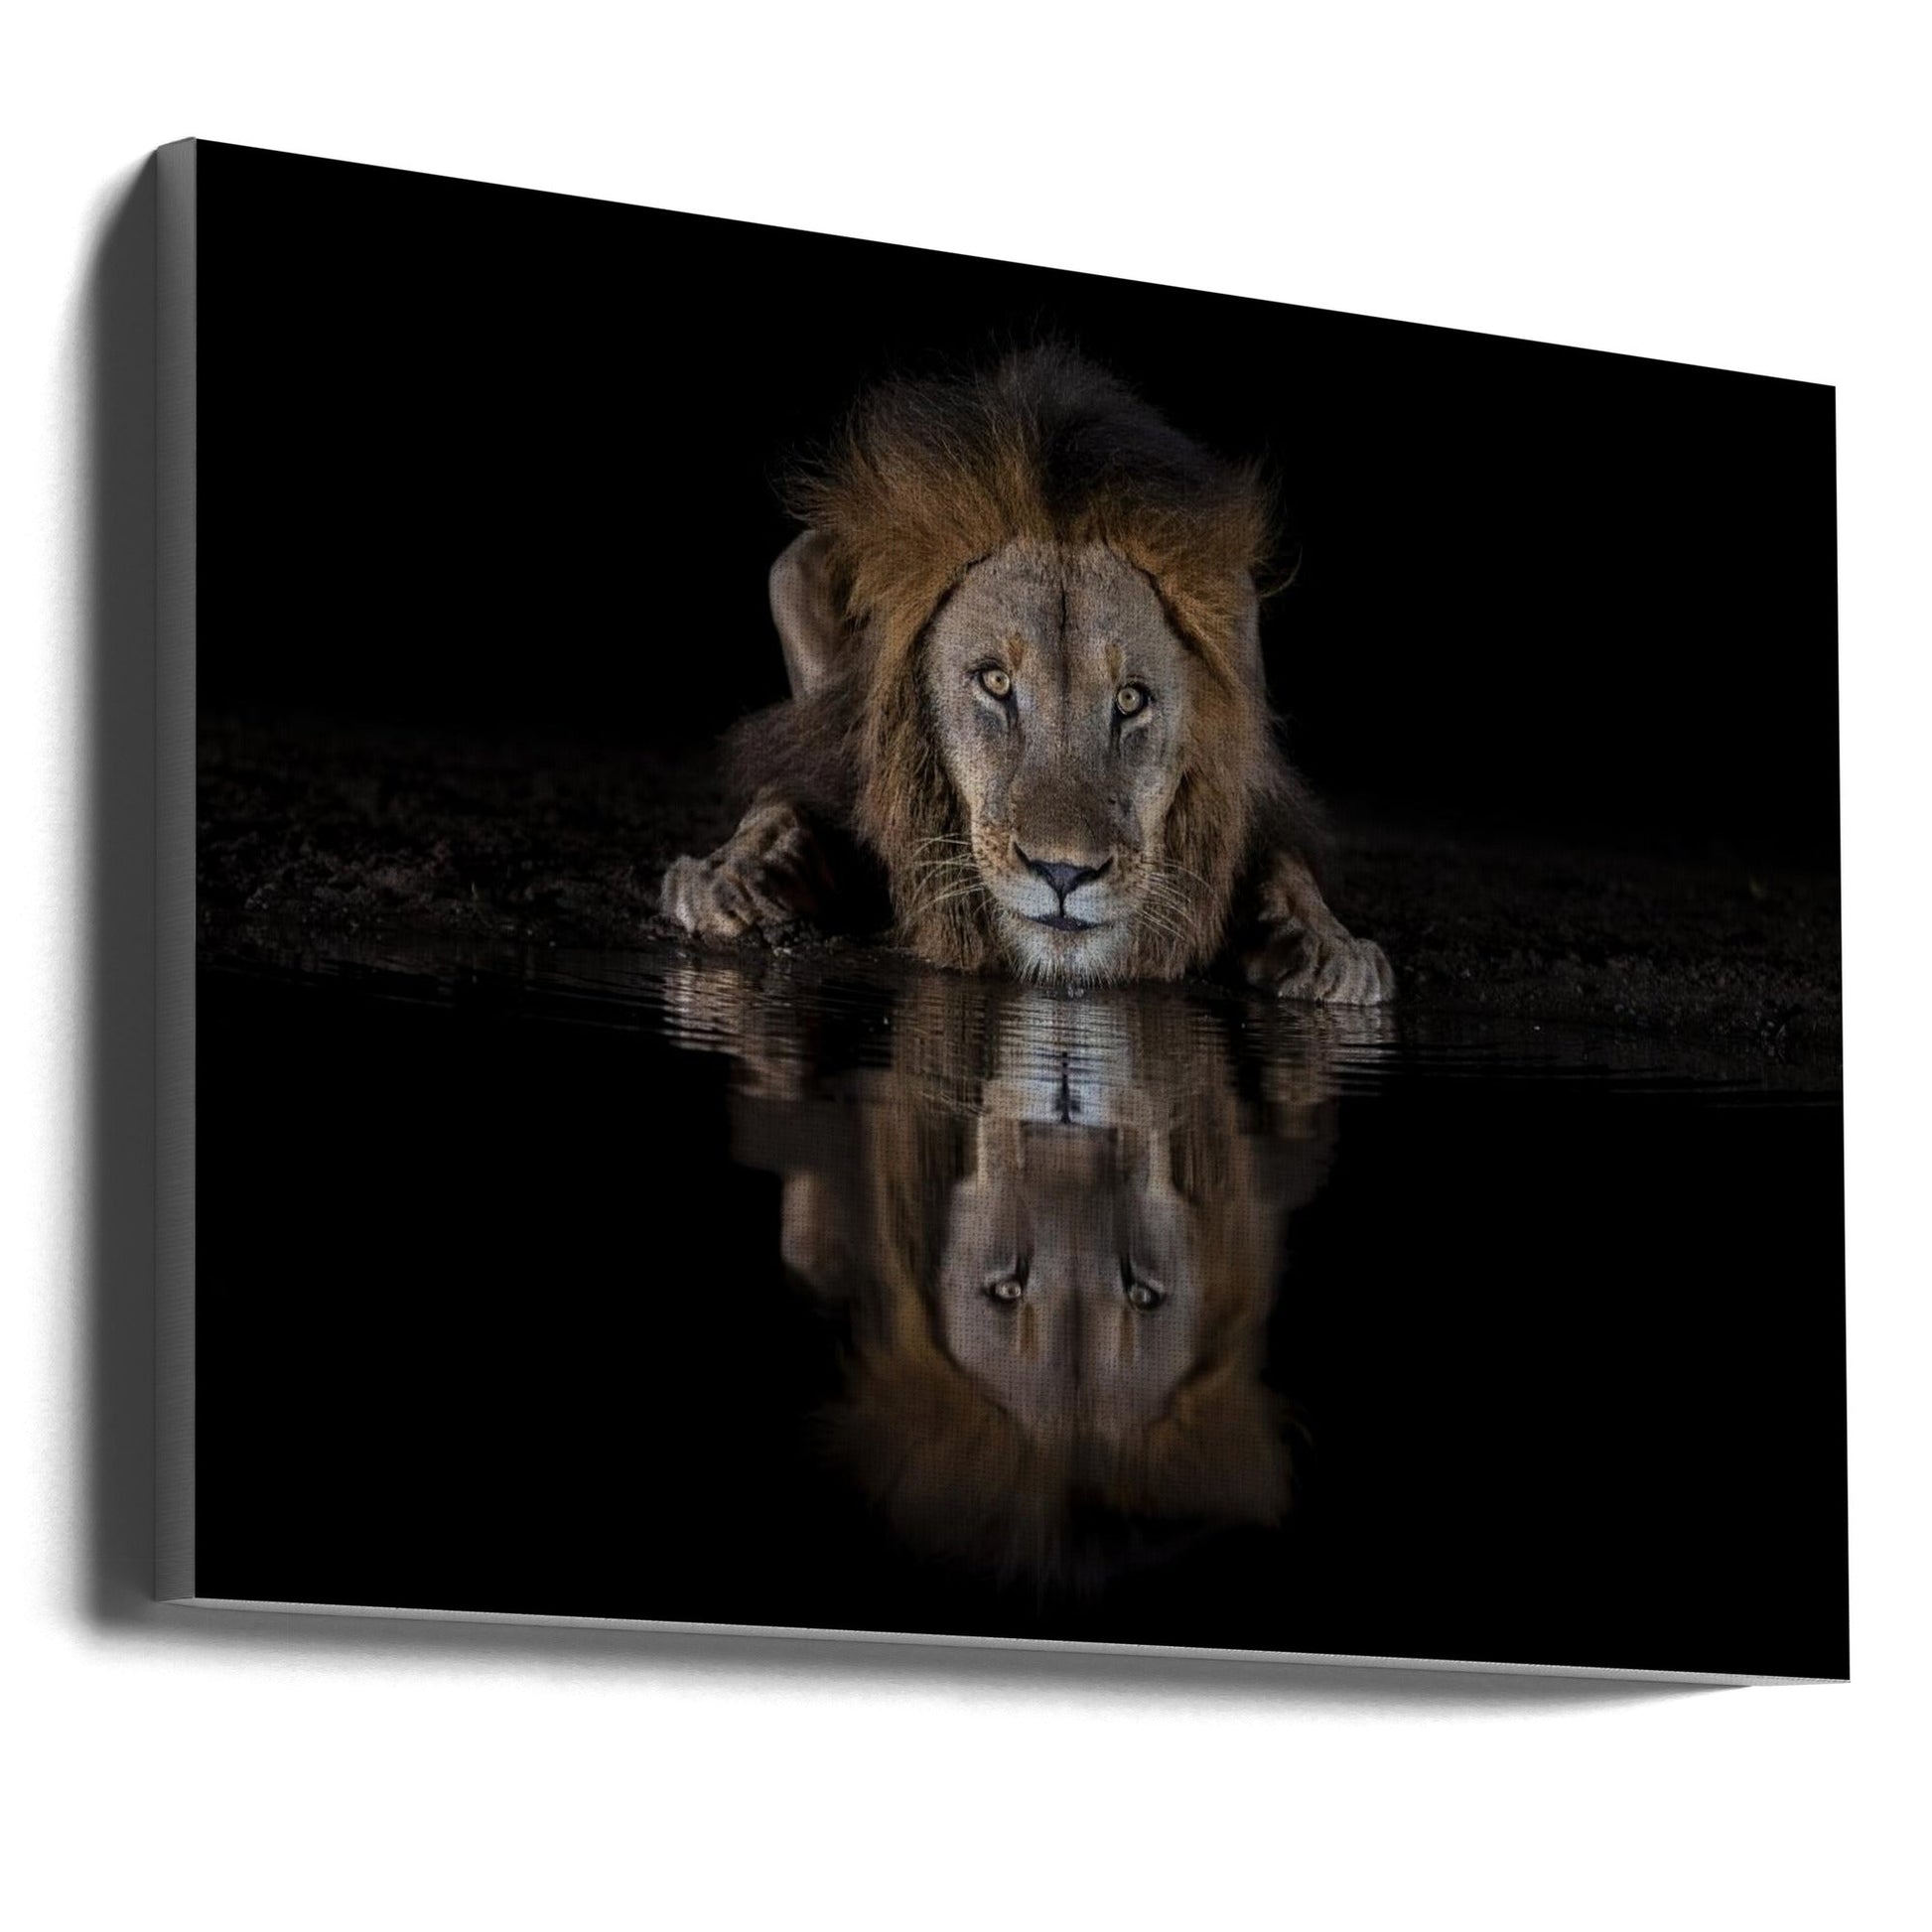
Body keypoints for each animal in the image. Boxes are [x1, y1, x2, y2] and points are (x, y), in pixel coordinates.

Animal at [661, 344, 1392, 1003]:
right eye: (995, 683)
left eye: (1131, 700)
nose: (1062, 874)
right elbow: (789, 795)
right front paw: (734, 878)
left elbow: (1284, 864)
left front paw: (1331, 951)